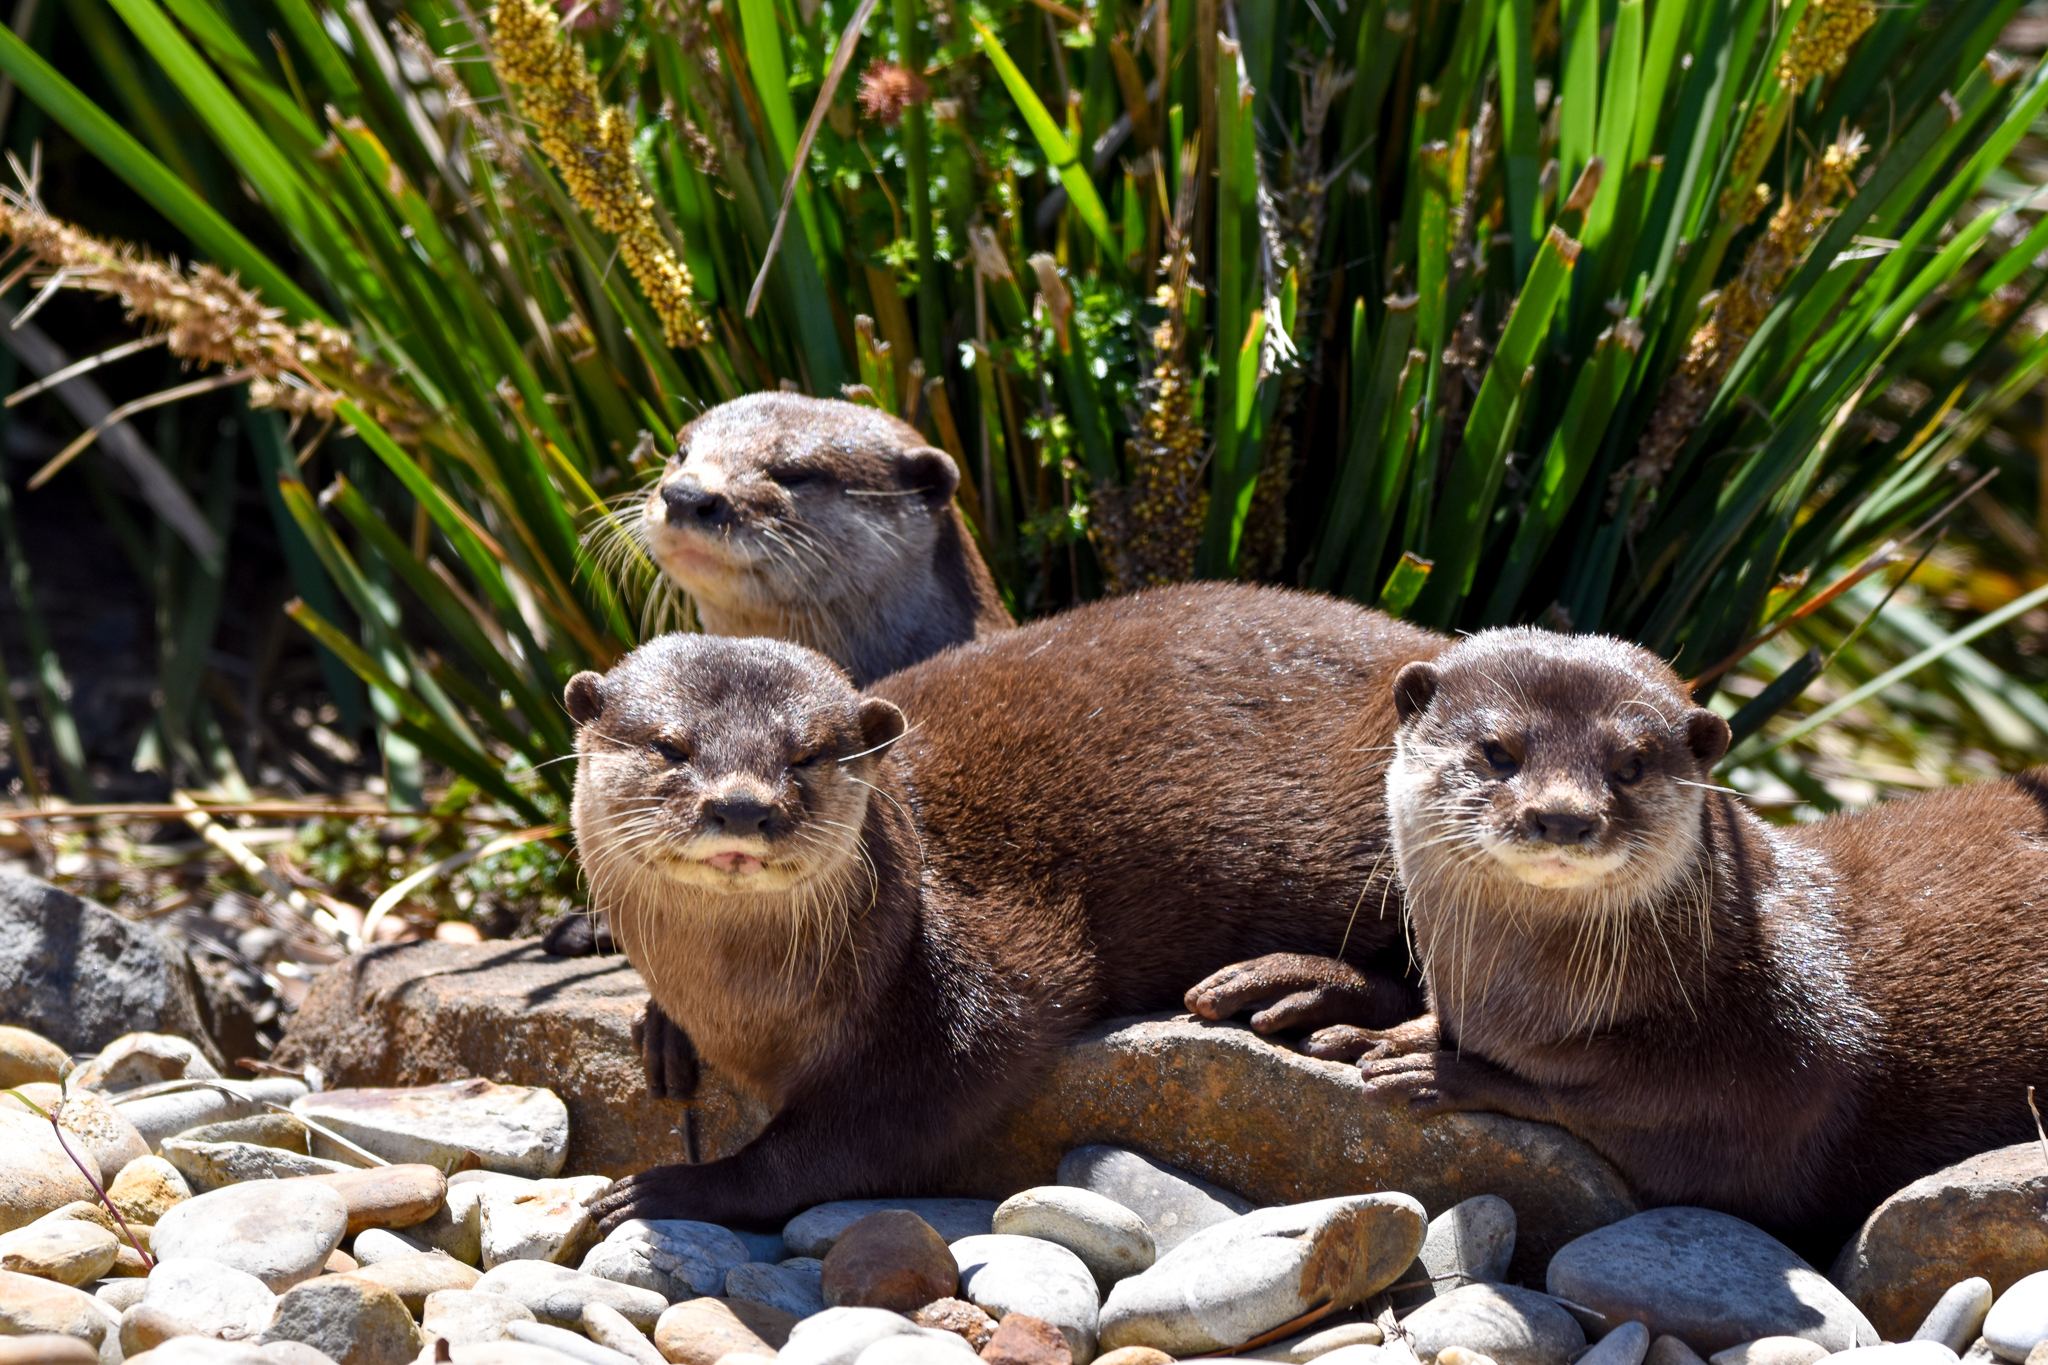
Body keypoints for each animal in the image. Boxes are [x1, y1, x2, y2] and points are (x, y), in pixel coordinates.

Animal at [568, 584, 1445, 1229]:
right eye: (670, 746)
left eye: (807, 754)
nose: (742, 806)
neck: (748, 1015)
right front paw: (661, 1028)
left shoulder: (981, 973)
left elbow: (877, 1121)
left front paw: (675, 1188)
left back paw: (1295, 992)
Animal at [1353, 627, 2048, 1250]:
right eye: (1498, 751)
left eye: (1631, 765)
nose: (1564, 817)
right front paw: (1375, 1033)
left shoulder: (1774, 1075)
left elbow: (1627, 1101)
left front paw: (1440, 1070)